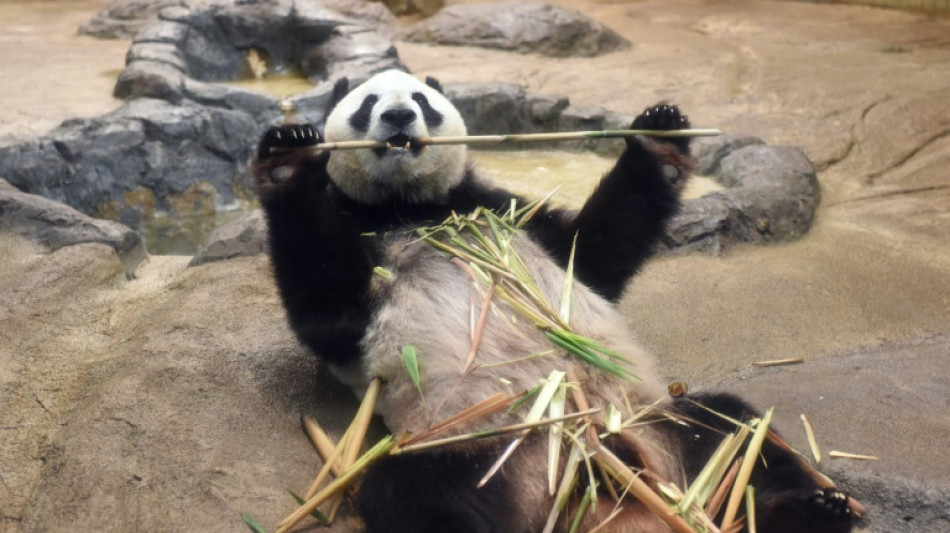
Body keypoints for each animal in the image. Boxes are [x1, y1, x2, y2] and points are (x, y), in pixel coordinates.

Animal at [251, 70, 856, 532]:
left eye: (421, 100)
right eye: (368, 103)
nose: (399, 117)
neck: (410, 205)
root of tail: (587, 473)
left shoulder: (503, 209)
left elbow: (591, 255)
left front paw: (659, 136)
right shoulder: (360, 244)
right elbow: (326, 313)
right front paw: (289, 156)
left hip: (649, 420)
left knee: (736, 433)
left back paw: (811, 509)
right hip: (480, 441)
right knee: (423, 497)